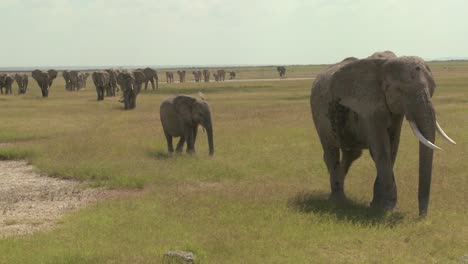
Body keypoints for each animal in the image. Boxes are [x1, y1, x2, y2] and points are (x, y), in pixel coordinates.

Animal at [308, 53, 456, 217]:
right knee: (331, 151)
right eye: (400, 90)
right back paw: (338, 201)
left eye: (433, 88)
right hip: (319, 114)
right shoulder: (369, 105)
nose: (421, 217)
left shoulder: (395, 111)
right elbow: (381, 150)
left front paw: (378, 205)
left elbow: (392, 146)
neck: (385, 65)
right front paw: (386, 208)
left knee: (351, 154)